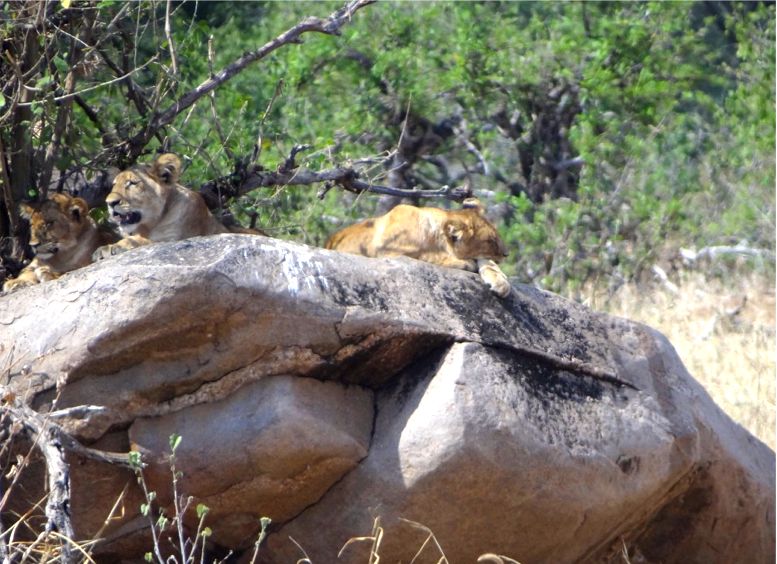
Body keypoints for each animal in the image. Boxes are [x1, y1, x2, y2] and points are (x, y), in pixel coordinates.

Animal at [92, 153, 255, 260]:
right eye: (114, 185)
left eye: (132, 183)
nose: (109, 202)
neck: (150, 226)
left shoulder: (175, 240)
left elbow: (141, 241)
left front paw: (113, 247)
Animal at [325, 198, 511, 297]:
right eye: (491, 241)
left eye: (497, 237)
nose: (506, 254)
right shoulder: (384, 249)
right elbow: (425, 255)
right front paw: (465, 263)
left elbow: (487, 262)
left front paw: (500, 280)